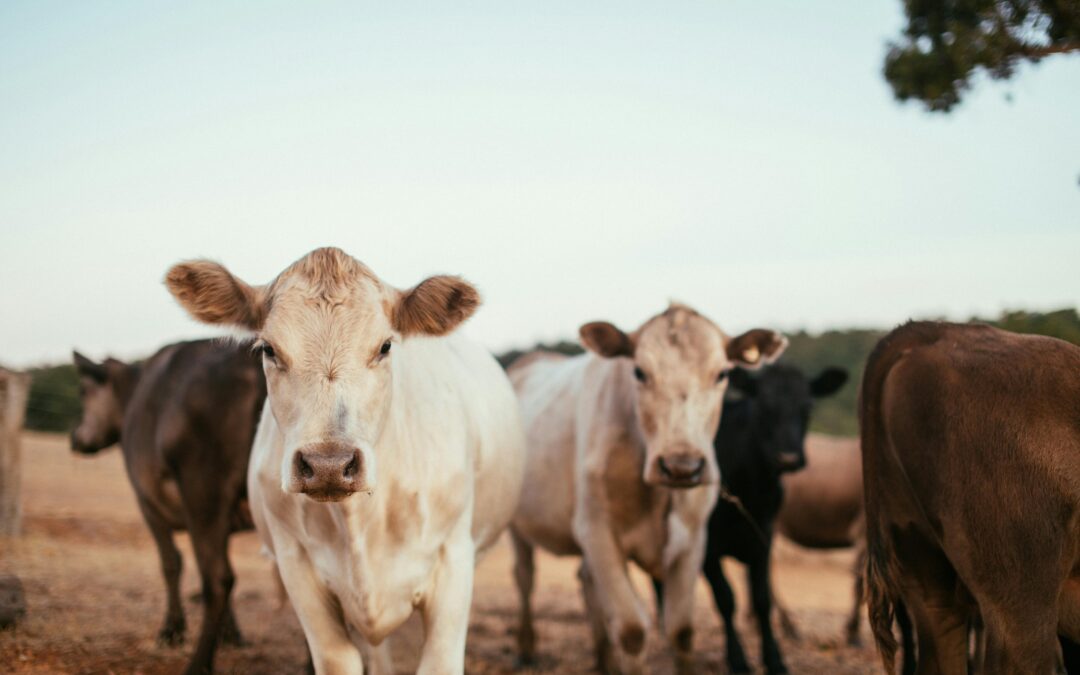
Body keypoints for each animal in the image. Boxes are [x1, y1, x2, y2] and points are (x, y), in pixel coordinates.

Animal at [72, 339, 265, 673]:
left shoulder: (147, 503)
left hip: (203, 491)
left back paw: (199, 663)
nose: (75, 438)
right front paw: (231, 633)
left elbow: (170, 563)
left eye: (84, 391)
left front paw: (171, 630)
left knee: (217, 579)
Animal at [164, 247, 527, 673]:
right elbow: (339, 658)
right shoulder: (296, 565)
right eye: (269, 348)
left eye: (385, 346)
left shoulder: (454, 563)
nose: (328, 465)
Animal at [509, 304, 790, 673]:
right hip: (516, 525)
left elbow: (682, 630)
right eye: (639, 372)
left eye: (721, 375)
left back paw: (604, 659)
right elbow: (631, 631)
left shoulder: (694, 541)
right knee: (525, 578)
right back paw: (526, 648)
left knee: (586, 583)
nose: (682, 466)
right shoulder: (597, 533)